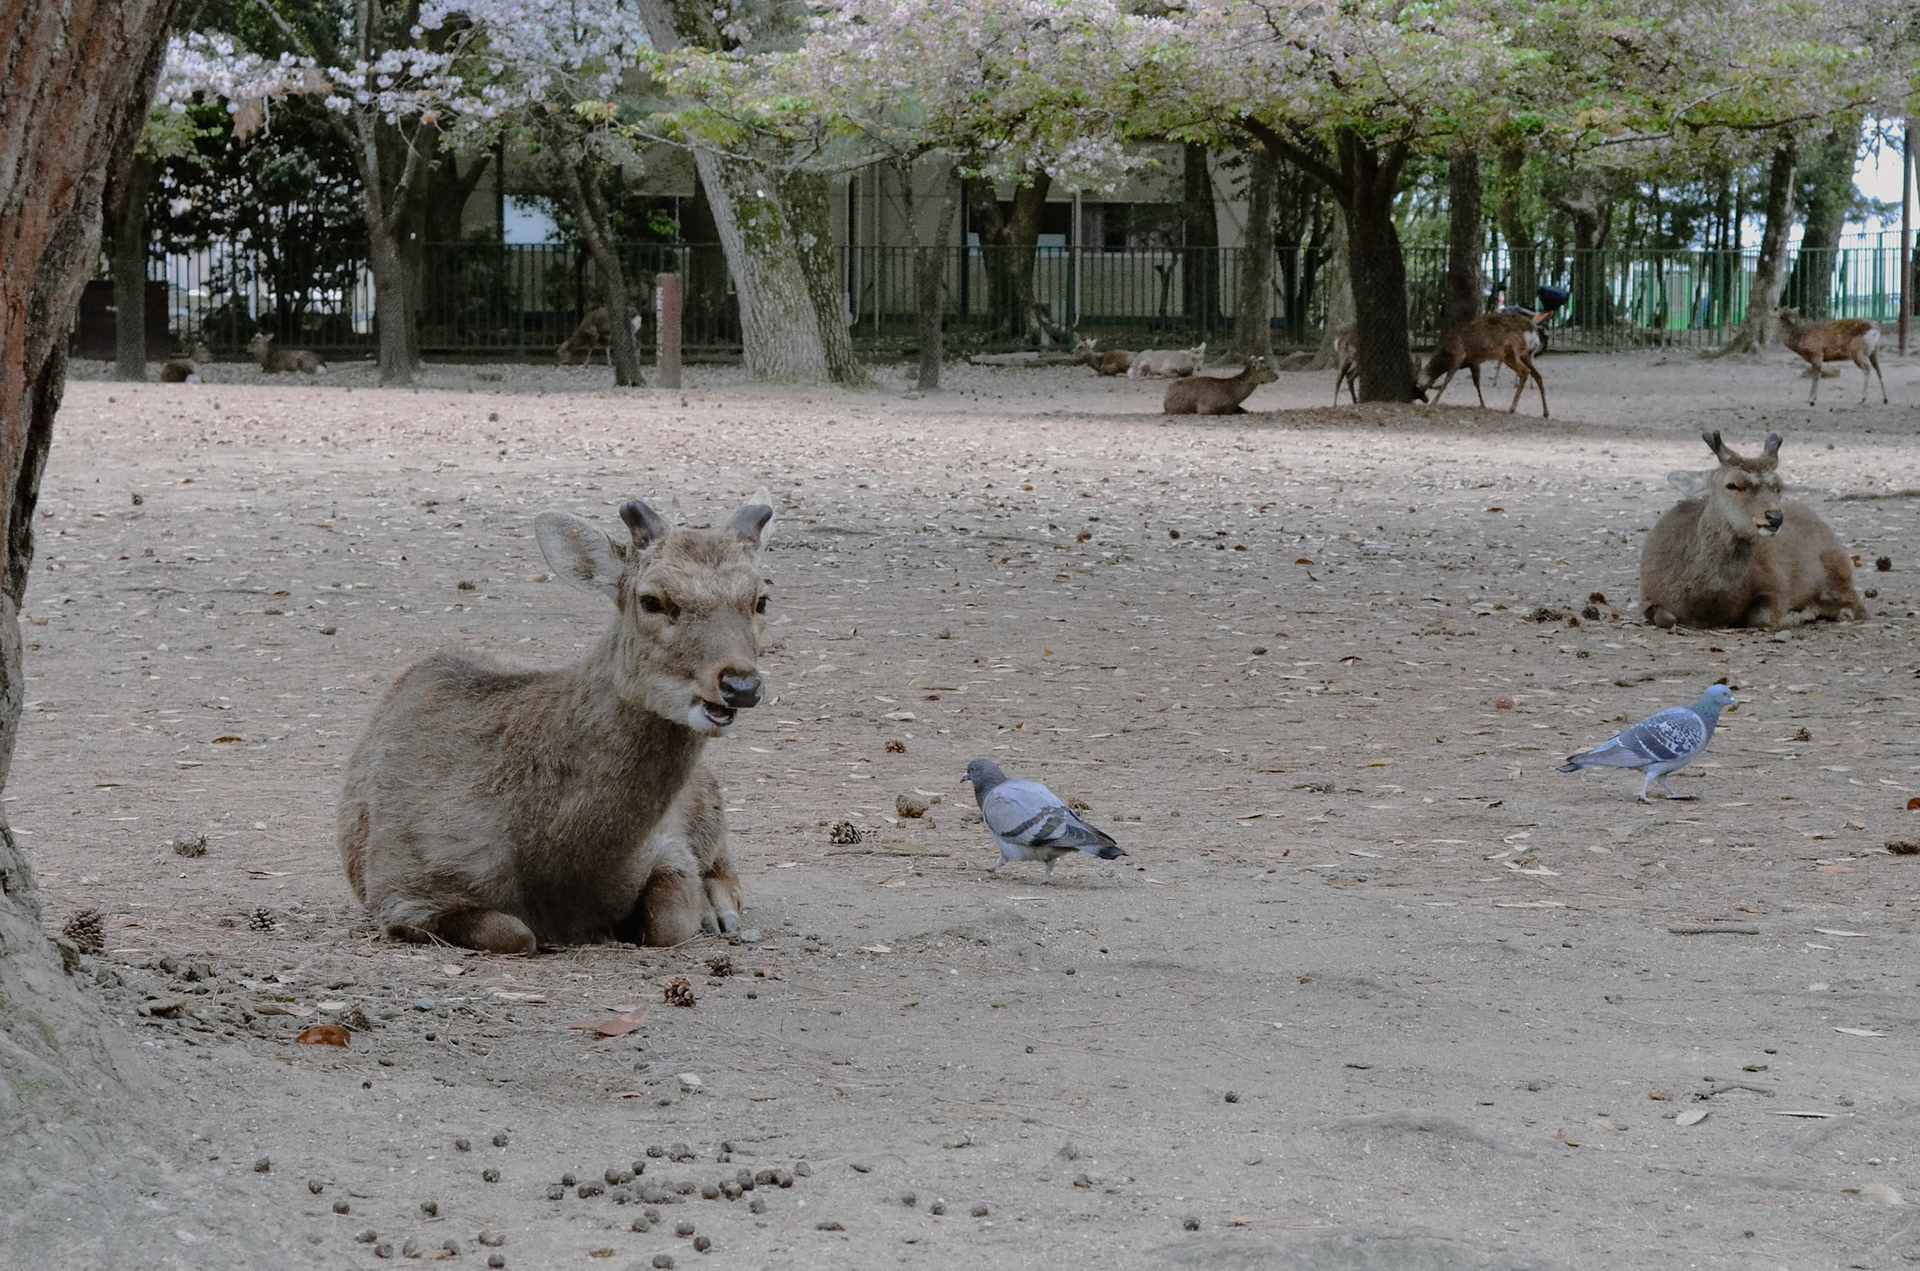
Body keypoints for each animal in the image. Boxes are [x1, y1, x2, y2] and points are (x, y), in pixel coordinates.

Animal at [338, 492, 777, 954]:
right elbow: (515, 933)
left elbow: (668, 925)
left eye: (761, 600)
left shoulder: (669, 845)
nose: (741, 684)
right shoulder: (400, 888)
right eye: (653, 600)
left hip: (706, 793)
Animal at [1417, 312, 1548, 417]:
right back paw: (1545, 412)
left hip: (1509, 352)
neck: (1446, 353)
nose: (1425, 399)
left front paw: (1434, 402)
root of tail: (1534, 333)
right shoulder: (1473, 362)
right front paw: (1483, 404)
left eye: (1418, 386)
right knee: (1538, 375)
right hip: (1527, 354)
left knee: (1525, 371)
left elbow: (1447, 380)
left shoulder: (1459, 354)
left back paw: (1512, 408)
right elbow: (1477, 382)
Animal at [1640, 432, 1864, 631]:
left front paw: (1800, 615)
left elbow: (1761, 618)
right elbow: (1664, 618)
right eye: (1732, 485)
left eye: (1779, 486)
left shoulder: (1777, 582)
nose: (1775, 517)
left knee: (1854, 607)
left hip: (1838, 568)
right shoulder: (1648, 594)